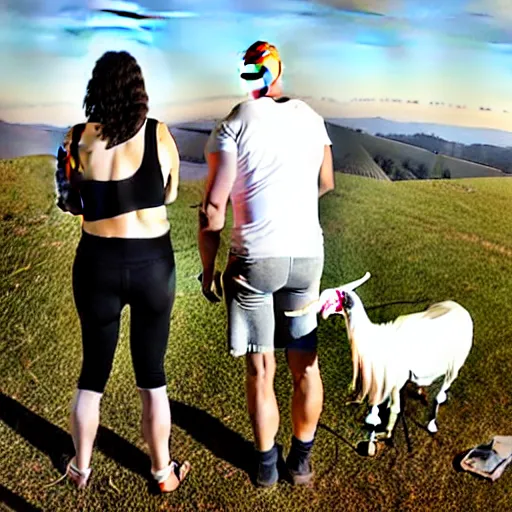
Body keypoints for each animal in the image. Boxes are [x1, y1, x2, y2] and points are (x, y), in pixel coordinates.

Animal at [286, 274, 474, 454]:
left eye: (333, 300)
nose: (322, 315)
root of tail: (461, 310)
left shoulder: (394, 381)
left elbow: (394, 409)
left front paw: (385, 435)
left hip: (455, 366)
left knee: (441, 394)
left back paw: (431, 423)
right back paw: (421, 391)